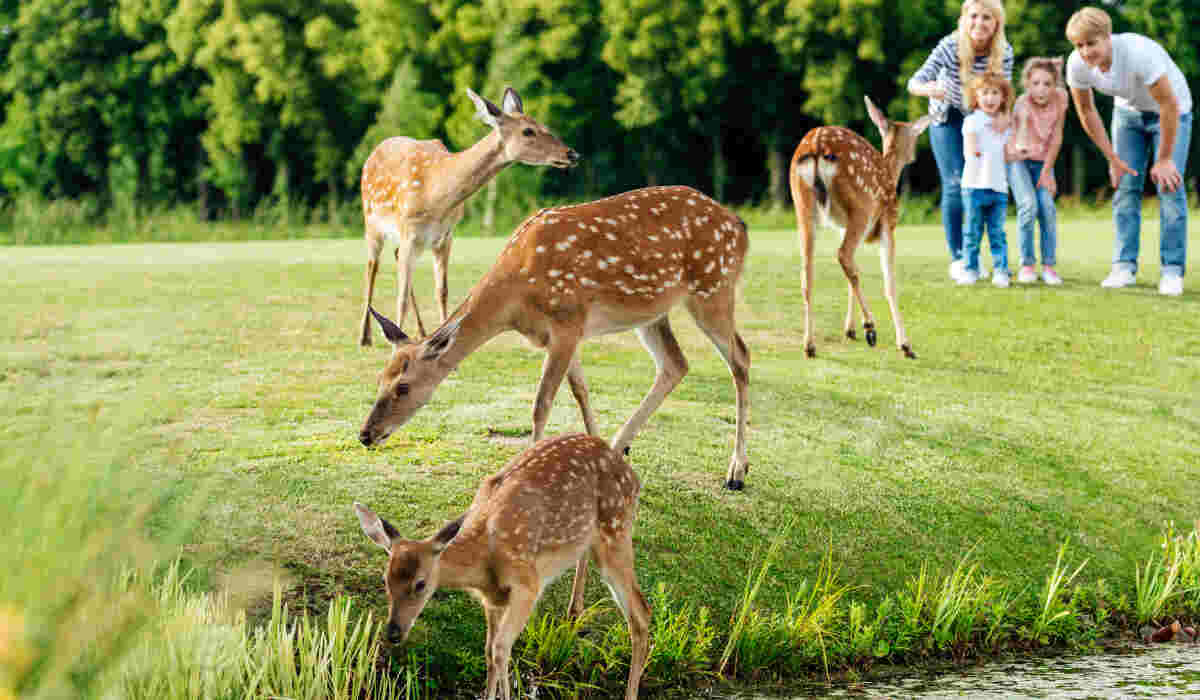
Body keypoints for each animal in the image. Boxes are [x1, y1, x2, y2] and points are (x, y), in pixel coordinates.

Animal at [352, 432, 652, 700]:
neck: (485, 560)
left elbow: (500, 648)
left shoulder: (528, 584)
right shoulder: (493, 600)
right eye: (385, 580)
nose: (393, 633)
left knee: (641, 612)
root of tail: (634, 477)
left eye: (421, 584)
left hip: (615, 534)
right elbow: (488, 652)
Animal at [355, 186, 748, 492]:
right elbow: (581, 391)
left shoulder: (566, 322)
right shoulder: (562, 332)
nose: (365, 435)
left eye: (403, 387)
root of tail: (740, 227)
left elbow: (541, 403)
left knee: (740, 358)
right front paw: (597, 456)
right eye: (379, 379)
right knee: (675, 364)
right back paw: (619, 447)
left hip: (712, 288)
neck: (515, 300)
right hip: (652, 312)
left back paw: (736, 472)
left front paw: (522, 472)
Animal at [357, 87, 578, 348]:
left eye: (544, 125)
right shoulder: (408, 230)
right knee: (372, 267)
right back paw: (364, 336)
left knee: (395, 257)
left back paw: (420, 331)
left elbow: (442, 291)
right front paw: (395, 344)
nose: (572, 153)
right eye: (528, 130)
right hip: (372, 221)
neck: (435, 196)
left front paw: (437, 339)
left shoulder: (445, 235)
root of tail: (372, 154)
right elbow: (400, 296)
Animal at [787, 96, 936, 362]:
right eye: (913, 133)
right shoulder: (888, 223)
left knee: (808, 271)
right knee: (842, 255)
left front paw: (849, 329)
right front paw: (904, 345)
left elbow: (852, 275)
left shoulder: (841, 225)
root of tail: (816, 147)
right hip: (862, 204)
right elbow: (889, 283)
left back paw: (809, 345)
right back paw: (871, 328)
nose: (913, 156)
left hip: (802, 205)